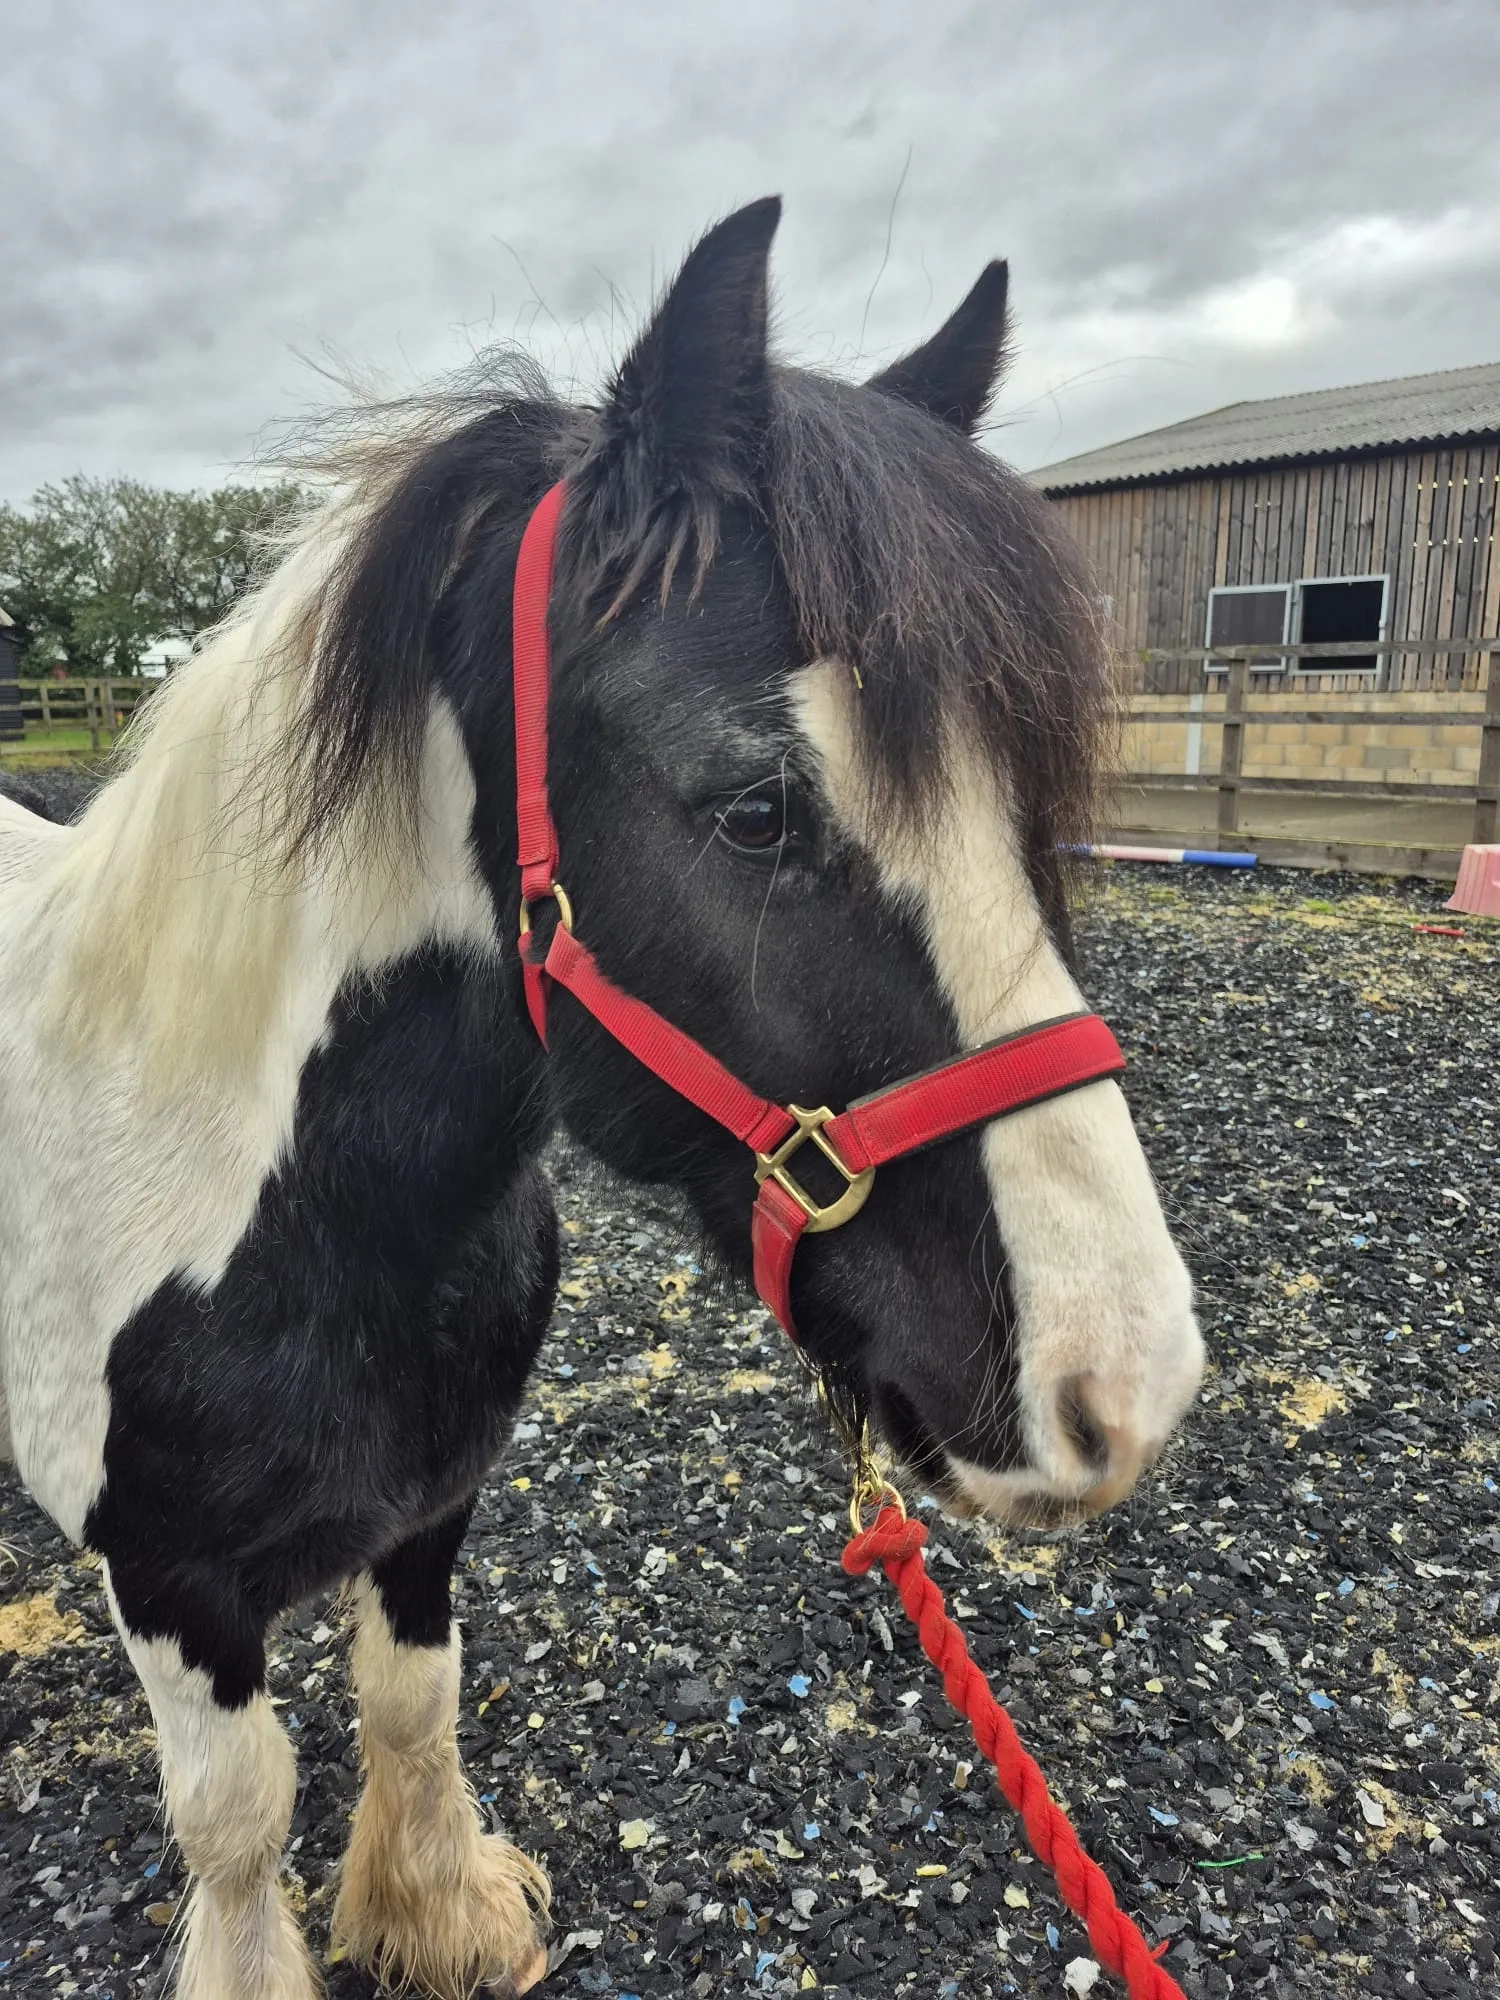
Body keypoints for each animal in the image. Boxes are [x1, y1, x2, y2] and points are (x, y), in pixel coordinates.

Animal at [0, 198, 1203, 2000]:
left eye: (1027, 803)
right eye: (755, 809)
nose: (1124, 1384)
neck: (254, 1197)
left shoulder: (431, 1502)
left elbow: (410, 1697)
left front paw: (439, 1911)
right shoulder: (169, 1584)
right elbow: (235, 1821)